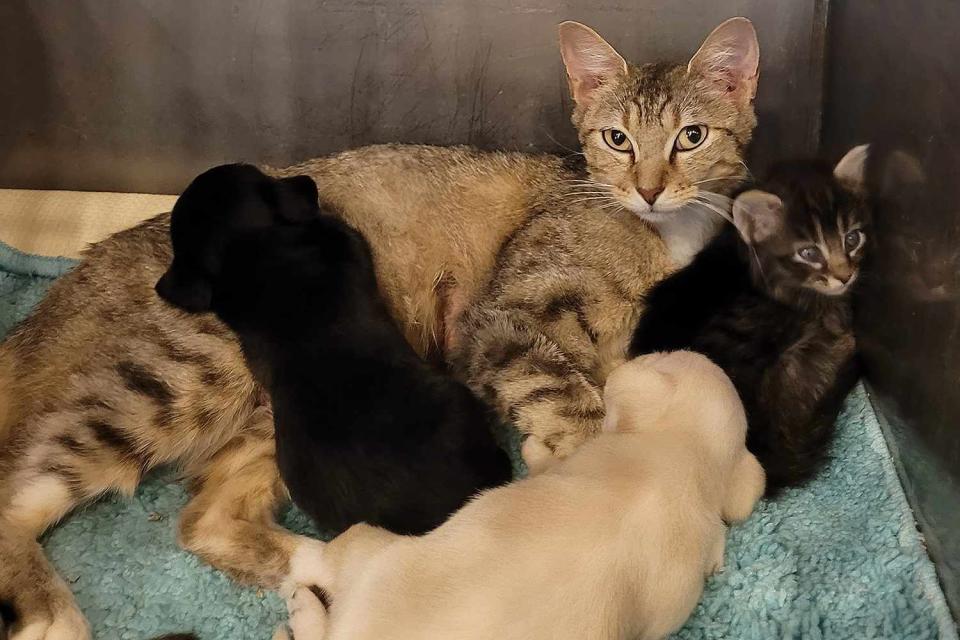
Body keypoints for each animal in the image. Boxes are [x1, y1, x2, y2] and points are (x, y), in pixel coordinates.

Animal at [278, 350, 764, 640]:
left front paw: (532, 448)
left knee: (327, 568)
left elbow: (544, 463)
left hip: (370, 547)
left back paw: (299, 590)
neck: (686, 454)